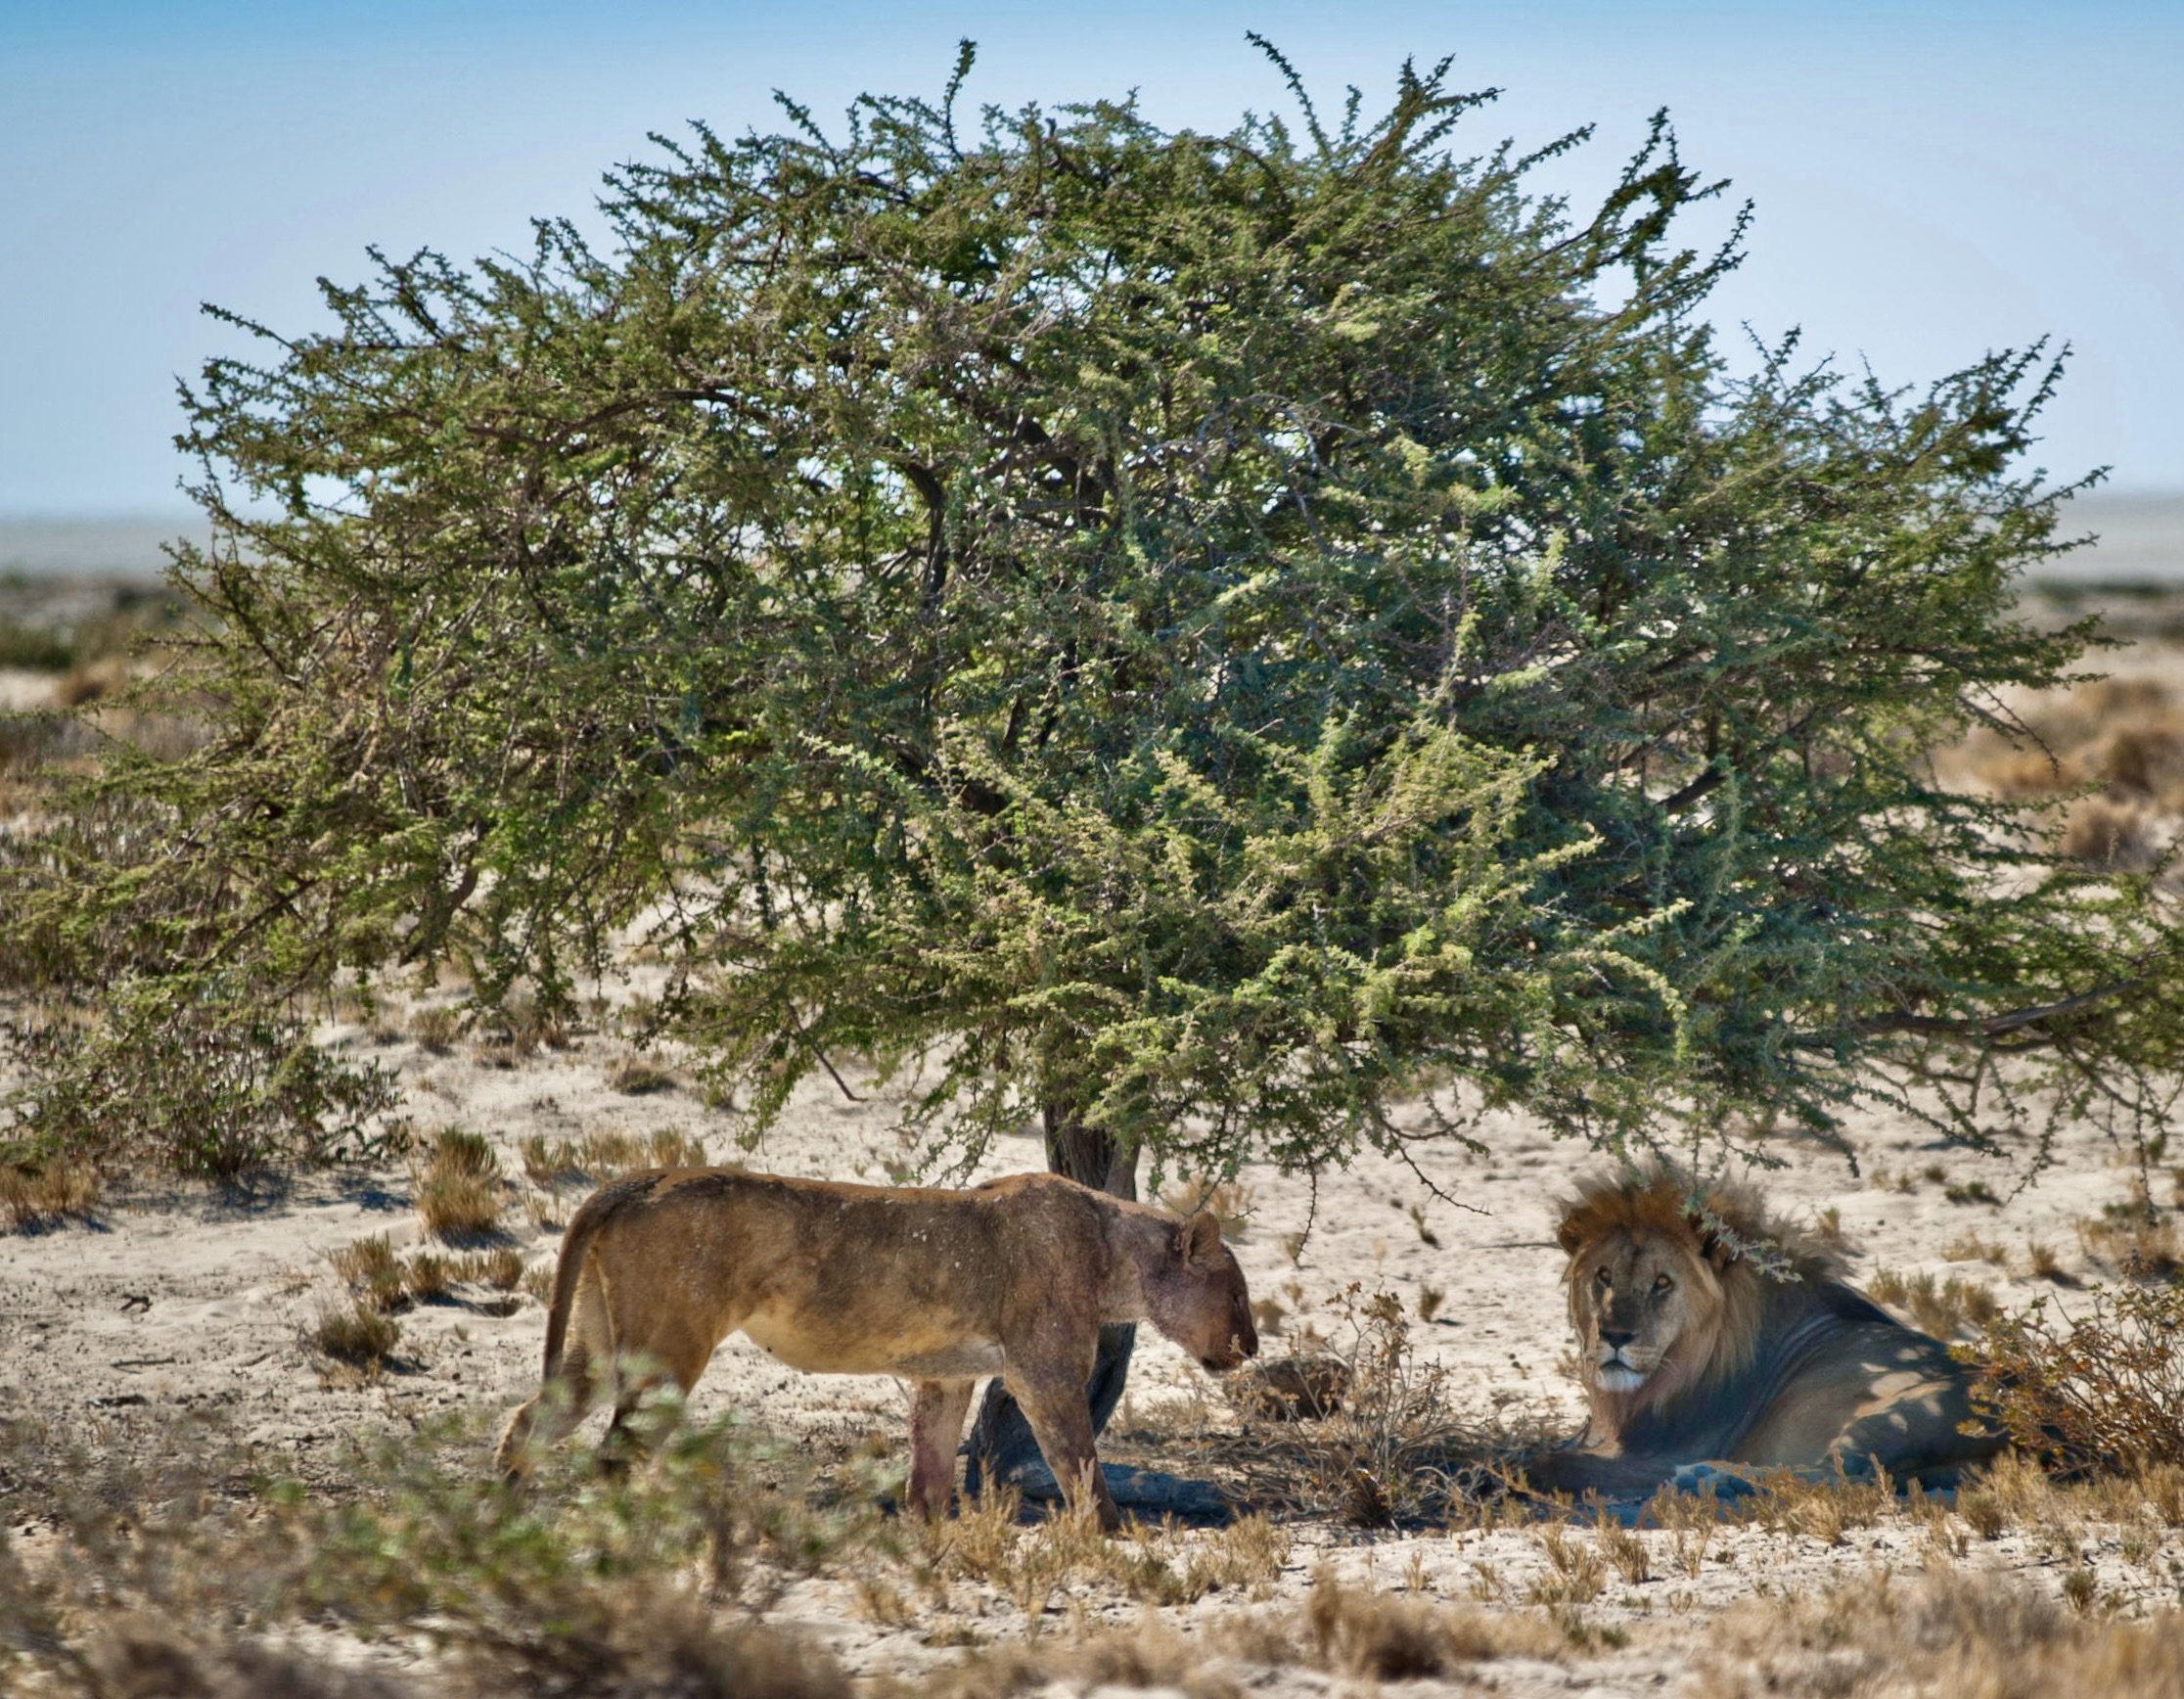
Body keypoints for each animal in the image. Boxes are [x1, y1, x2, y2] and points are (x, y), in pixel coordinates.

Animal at [493, 1162, 1249, 1520]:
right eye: (1239, 1295)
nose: (1253, 1348)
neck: (1112, 1249)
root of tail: (635, 1180)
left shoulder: (947, 1375)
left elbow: (931, 1472)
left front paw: (928, 1541)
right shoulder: (1045, 1373)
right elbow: (1080, 1465)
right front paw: (1117, 1534)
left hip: (595, 1342)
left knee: (533, 1419)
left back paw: (509, 1522)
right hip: (669, 1351)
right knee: (613, 1457)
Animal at [1520, 1171, 2009, 1493]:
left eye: (1662, 1283)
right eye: (1603, 1276)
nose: (1615, 1336)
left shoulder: (1662, 1452)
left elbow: (1547, 1462)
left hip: (1900, 1410)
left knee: (1846, 1474)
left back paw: (1709, 1476)